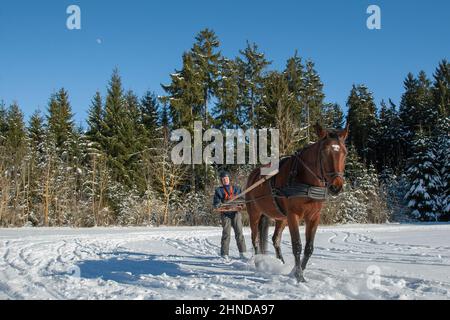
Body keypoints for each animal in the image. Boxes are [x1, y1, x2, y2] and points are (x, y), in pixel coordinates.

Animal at [244, 123, 350, 282]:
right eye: (324, 152)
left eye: (345, 152)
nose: (336, 186)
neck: (306, 182)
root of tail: (253, 176)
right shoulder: (293, 215)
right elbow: (297, 246)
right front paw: (299, 277)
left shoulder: (313, 217)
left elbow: (309, 248)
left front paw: (295, 270)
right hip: (255, 213)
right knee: (255, 239)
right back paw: (259, 263)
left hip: (281, 217)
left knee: (275, 239)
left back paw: (281, 263)